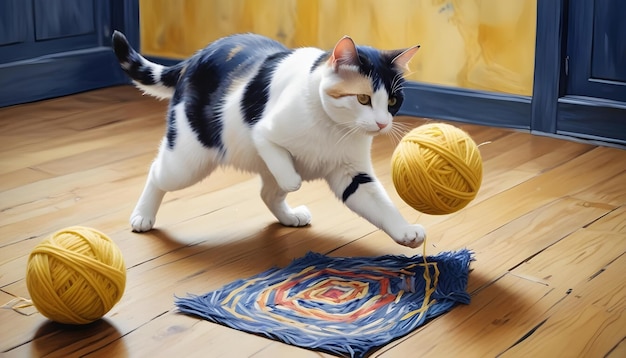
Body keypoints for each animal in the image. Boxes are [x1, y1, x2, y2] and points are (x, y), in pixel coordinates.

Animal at [111, 30, 424, 249]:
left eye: (393, 101)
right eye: (363, 99)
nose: (382, 123)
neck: (334, 129)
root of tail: (195, 57)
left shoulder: (353, 173)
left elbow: (381, 204)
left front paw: (406, 232)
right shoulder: (262, 131)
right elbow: (285, 169)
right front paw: (294, 177)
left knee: (267, 193)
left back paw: (290, 217)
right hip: (188, 160)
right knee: (156, 173)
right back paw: (142, 217)